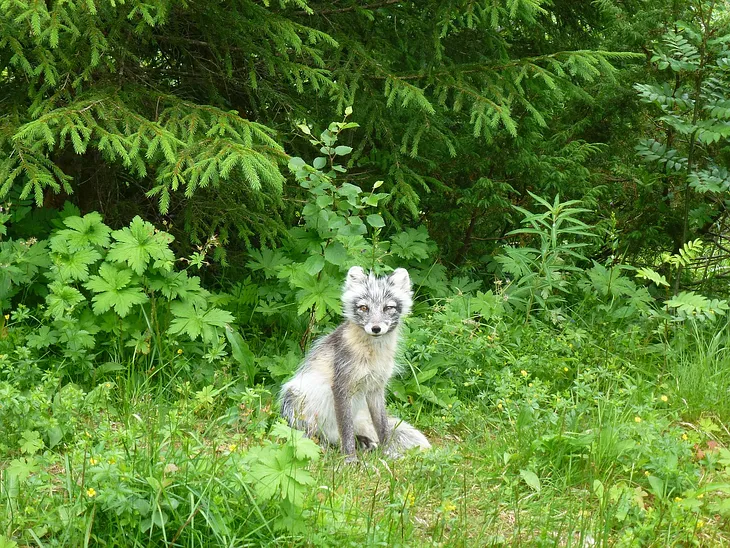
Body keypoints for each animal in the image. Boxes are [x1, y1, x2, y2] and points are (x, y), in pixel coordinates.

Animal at [278, 266, 426, 458]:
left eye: (388, 308)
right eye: (364, 307)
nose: (376, 328)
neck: (372, 354)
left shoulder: (376, 388)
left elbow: (383, 427)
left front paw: (388, 453)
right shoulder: (341, 386)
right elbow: (346, 432)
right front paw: (350, 460)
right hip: (293, 398)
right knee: (317, 436)